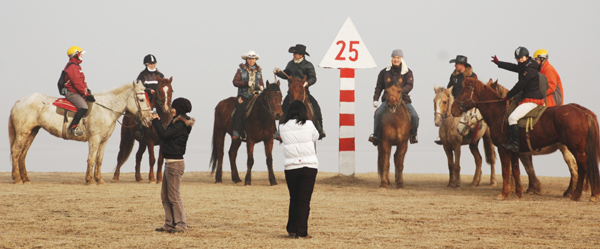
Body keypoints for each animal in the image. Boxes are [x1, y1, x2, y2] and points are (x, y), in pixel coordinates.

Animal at [9, 81, 152, 185]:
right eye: (141, 99)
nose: (150, 119)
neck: (106, 109)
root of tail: (19, 101)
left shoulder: (103, 140)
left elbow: (99, 159)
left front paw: (99, 179)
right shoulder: (94, 139)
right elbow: (91, 158)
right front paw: (90, 180)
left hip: (32, 132)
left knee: (23, 154)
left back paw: (25, 179)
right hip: (22, 133)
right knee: (16, 152)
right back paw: (17, 178)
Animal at [450, 77, 600, 201]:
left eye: (463, 92)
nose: (453, 110)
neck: (500, 113)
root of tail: (583, 111)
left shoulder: (504, 149)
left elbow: (506, 171)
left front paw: (504, 193)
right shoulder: (516, 151)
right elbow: (516, 170)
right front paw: (518, 192)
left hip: (575, 149)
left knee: (582, 167)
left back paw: (584, 194)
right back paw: (578, 194)